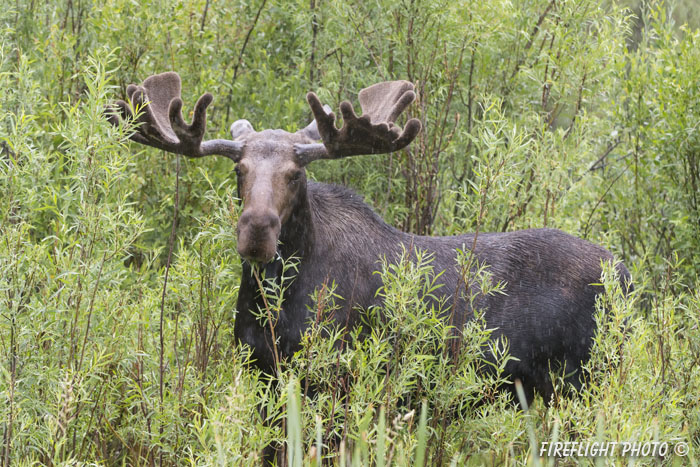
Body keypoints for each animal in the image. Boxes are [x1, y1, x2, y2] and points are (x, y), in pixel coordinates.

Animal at [106, 72, 632, 406]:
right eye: (239, 169)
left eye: (296, 173)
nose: (256, 230)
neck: (274, 302)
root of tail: (628, 277)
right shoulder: (262, 374)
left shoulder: (333, 380)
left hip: (584, 380)